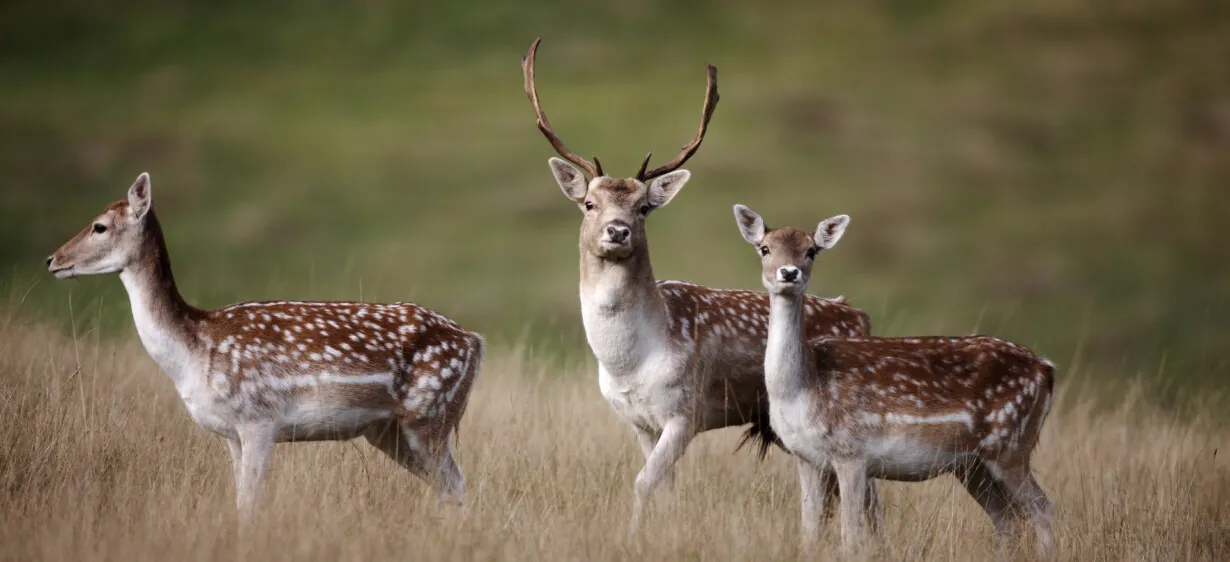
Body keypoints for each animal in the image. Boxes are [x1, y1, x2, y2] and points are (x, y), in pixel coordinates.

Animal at [45, 172, 484, 520]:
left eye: (99, 226)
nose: (52, 259)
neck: (193, 351)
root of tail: (475, 342)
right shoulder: (231, 433)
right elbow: (239, 499)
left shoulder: (259, 418)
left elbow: (248, 503)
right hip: (387, 430)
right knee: (450, 486)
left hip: (430, 414)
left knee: (457, 483)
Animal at [522, 37, 881, 534]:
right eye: (589, 203)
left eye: (643, 207)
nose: (617, 231)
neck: (629, 362)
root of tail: (861, 316)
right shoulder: (639, 422)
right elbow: (663, 487)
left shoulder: (686, 411)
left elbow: (643, 482)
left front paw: (633, 535)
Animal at [732, 203, 1056, 555]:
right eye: (765, 248)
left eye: (811, 250)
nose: (789, 273)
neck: (802, 390)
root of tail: (1047, 370)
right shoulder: (806, 458)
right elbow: (809, 531)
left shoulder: (852, 452)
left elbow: (850, 535)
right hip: (972, 464)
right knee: (1006, 517)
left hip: (1011, 444)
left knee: (1042, 508)